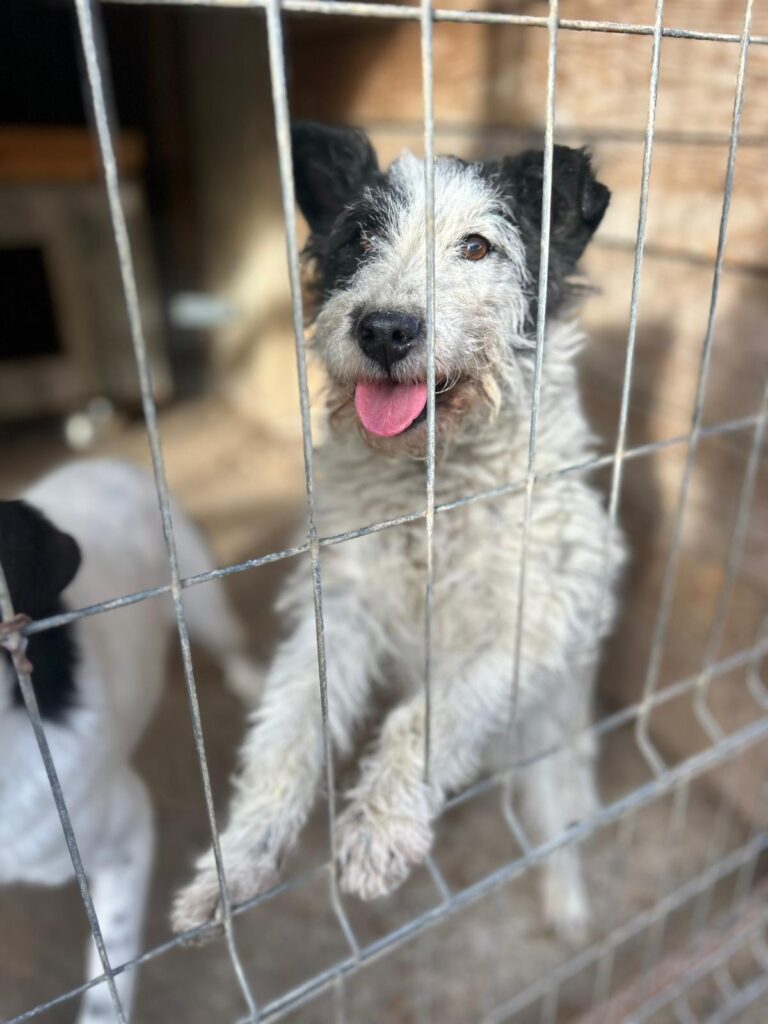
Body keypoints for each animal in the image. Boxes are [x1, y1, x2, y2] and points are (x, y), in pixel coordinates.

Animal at [172, 122, 625, 944]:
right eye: (358, 235)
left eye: (477, 246)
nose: (384, 327)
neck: (431, 491)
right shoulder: (343, 608)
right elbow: (287, 729)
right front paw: (240, 857)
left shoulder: (533, 621)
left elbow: (426, 719)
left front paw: (381, 826)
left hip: (554, 744)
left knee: (559, 821)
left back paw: (568, 904)